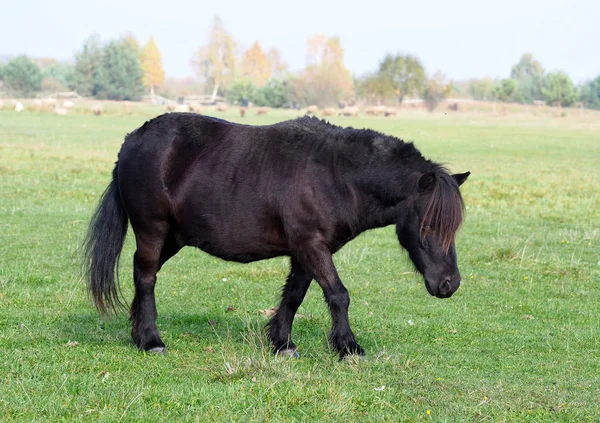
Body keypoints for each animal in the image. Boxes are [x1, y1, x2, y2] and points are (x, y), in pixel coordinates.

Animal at [83, 114, 468, 360]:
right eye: (428, 226)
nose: (449, 284)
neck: (336, 174)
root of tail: (132, 141)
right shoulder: (312, 246)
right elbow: (338, 295)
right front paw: (348, 348)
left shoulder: (306, 251)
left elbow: (295, 296)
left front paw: (282, 344)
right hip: (153, 230)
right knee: (146, 278)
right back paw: (151, 341)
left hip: (174, 238)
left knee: (141, 275)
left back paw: (138, 332)